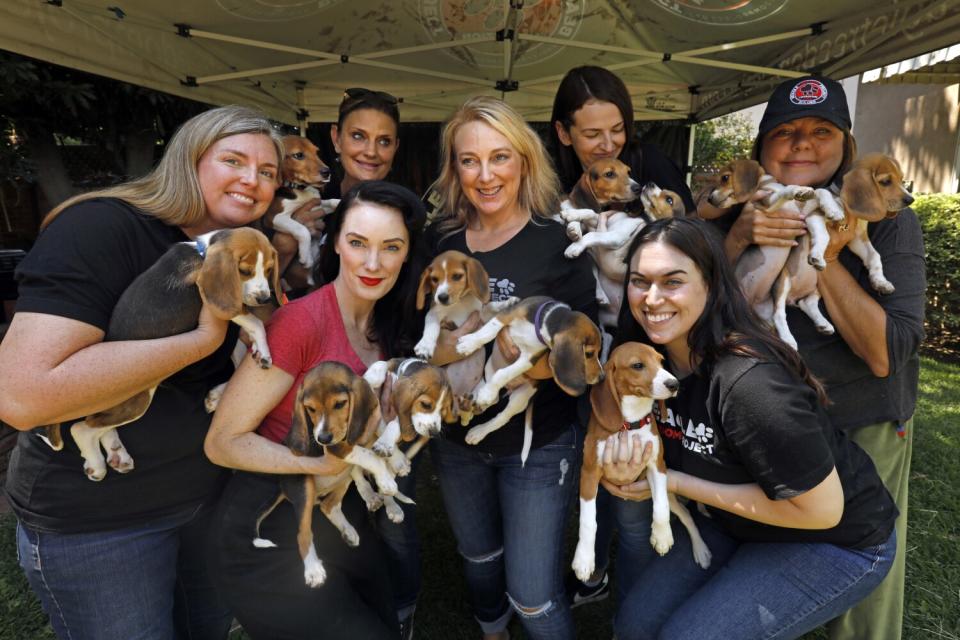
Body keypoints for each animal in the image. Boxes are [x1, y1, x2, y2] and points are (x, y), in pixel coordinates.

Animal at [39, 228, 284, 482]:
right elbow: (255, 322)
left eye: (268, 270)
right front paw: (264, 349)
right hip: (138, 401)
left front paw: (254, 353)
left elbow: (241, 347)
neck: (202, 252)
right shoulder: (222, 307)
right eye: (244, 271)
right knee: (81, 428)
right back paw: (96, 464)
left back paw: (117, 453)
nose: (265, 298)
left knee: (97, 424)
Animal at [253, 362, 400, 588]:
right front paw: (386, 480)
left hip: (343, 478)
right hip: (304, 486)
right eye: (311, 409)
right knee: (303, 534)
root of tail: (282, 486)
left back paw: (348, 531)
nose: (322, 438)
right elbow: (369, 456)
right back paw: (313, 570)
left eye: (340, 404)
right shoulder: (339, 448)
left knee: (328, 506)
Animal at [456, 296, 604, 464]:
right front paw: (469, 343)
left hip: (521, 397)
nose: (602, 377)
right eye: (589, 354)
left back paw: (479, 428)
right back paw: (473, 400)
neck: (546, 319)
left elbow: (504, 374)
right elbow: (489, 331)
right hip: (488, 368)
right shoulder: (505, 316)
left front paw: (487, 393)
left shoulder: (529, 358)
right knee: (492, 397)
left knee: (501, 416)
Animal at [568, 342, 712, 584]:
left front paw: (662, 537)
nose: (674, 384)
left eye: (661, 361)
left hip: (671, 495)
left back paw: (701, 549)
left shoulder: (657, 466)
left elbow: (661, 507)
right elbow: (588, 521)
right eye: (637, 365)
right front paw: (584, 560)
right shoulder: (589, 472)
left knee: (686, 514)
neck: (630, 424)